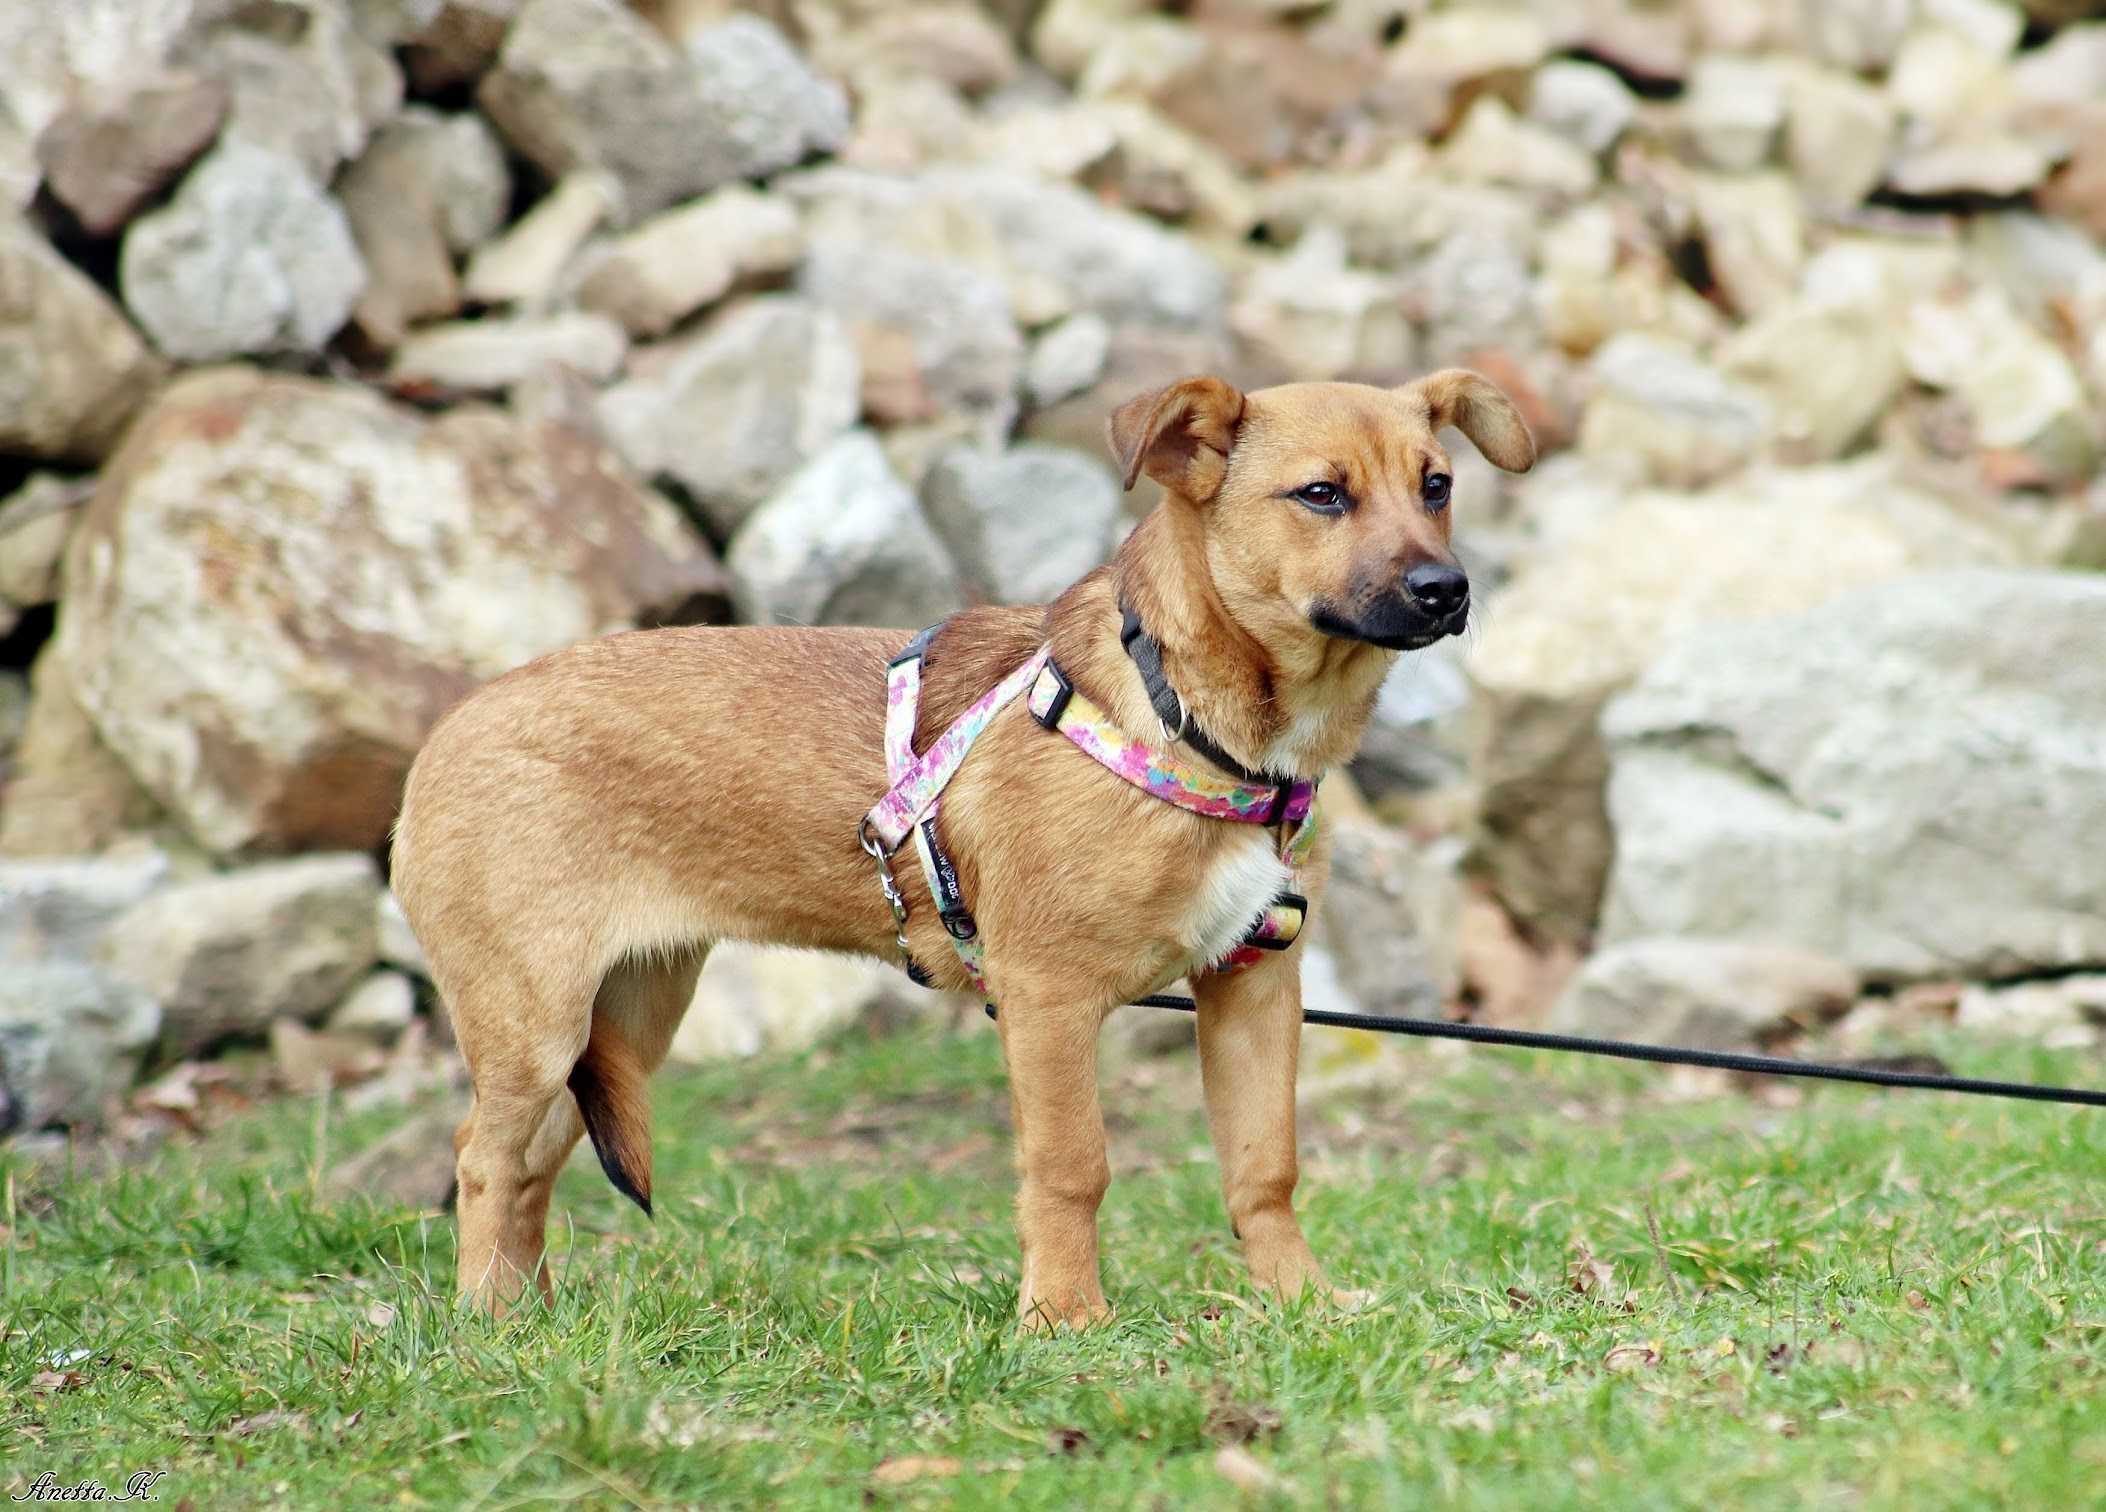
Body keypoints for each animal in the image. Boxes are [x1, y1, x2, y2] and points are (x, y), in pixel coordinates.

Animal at [391, 372, 1533, 1330]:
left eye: (1437, 485)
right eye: (1321, 496)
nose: (1447, 590)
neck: (1188, 721)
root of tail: (448, 729)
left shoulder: (1253, 981)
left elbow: (1265, 1169)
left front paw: (1302, 1304)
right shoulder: (1048, 999)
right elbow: (1073, 1167)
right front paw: (1066, 1322)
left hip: (625, 1014)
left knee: (531, 1166)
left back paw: (536, 1321)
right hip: (537, 1023)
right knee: (481, 1159)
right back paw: (487, 1328)